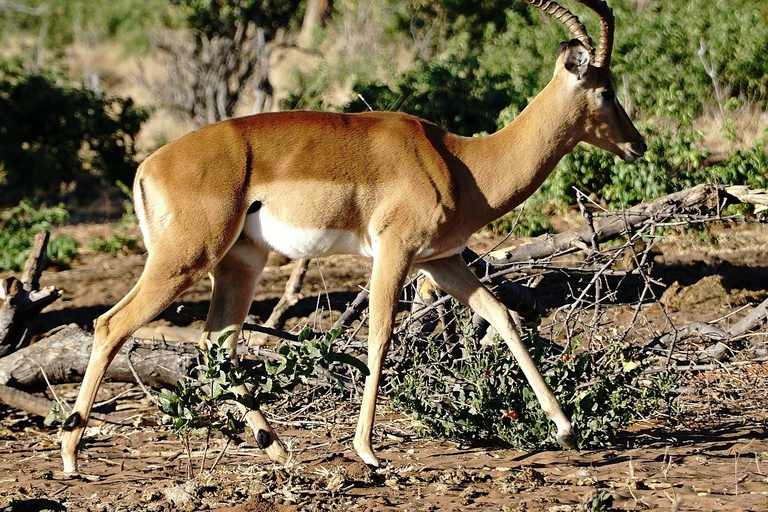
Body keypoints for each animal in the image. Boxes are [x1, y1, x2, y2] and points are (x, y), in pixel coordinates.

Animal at [61, 0, 648, 474]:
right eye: (606, 89)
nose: (637, 144)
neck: (461, 163)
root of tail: (147, 167)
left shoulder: (440, 259)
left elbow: (500, 314)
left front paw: (565, 429)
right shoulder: (395, 251)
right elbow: (380, 335)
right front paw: (367, 451)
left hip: (239, 265)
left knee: (216, 341)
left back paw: (278, 448)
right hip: (185, 260)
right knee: (111, 324)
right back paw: (71, 454)